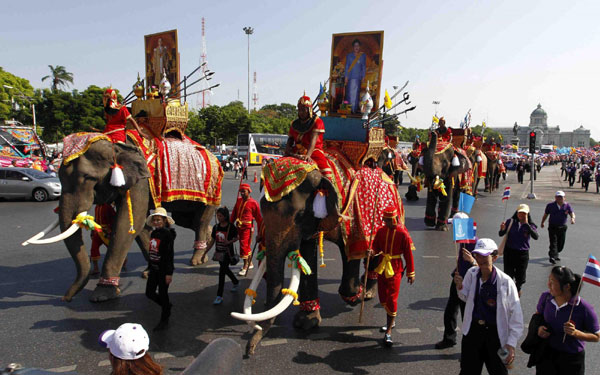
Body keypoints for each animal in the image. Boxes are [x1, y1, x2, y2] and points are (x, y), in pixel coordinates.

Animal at [23, 135, 221, 302]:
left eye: (88, 178)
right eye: (60, 178)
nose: (66, 298)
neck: (115, 143)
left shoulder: (141, 181)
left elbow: (128, 223)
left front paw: (102, 295)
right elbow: (139, 226)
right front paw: (148, 273)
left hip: (212, 188)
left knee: (200, 220)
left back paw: (196, 260)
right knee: (188, 220)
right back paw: (206, 248)